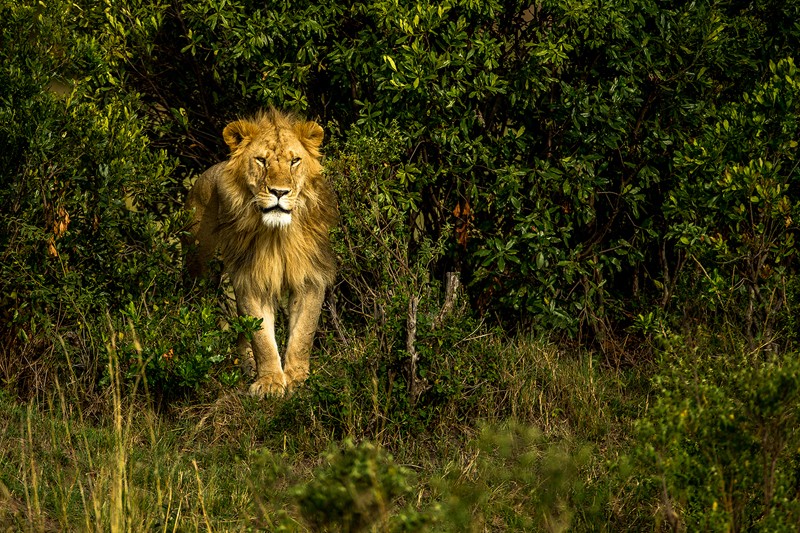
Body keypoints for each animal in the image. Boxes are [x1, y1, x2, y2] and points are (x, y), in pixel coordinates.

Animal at [185, 108, 338, 394]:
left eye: (294, 161)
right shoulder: (250, 278)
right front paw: (269, 382)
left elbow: (303, 333)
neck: (278, 234)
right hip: (200, 271)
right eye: (261, 160)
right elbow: (262, 337)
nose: (279, 192)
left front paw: (298, 379)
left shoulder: (310, 277)